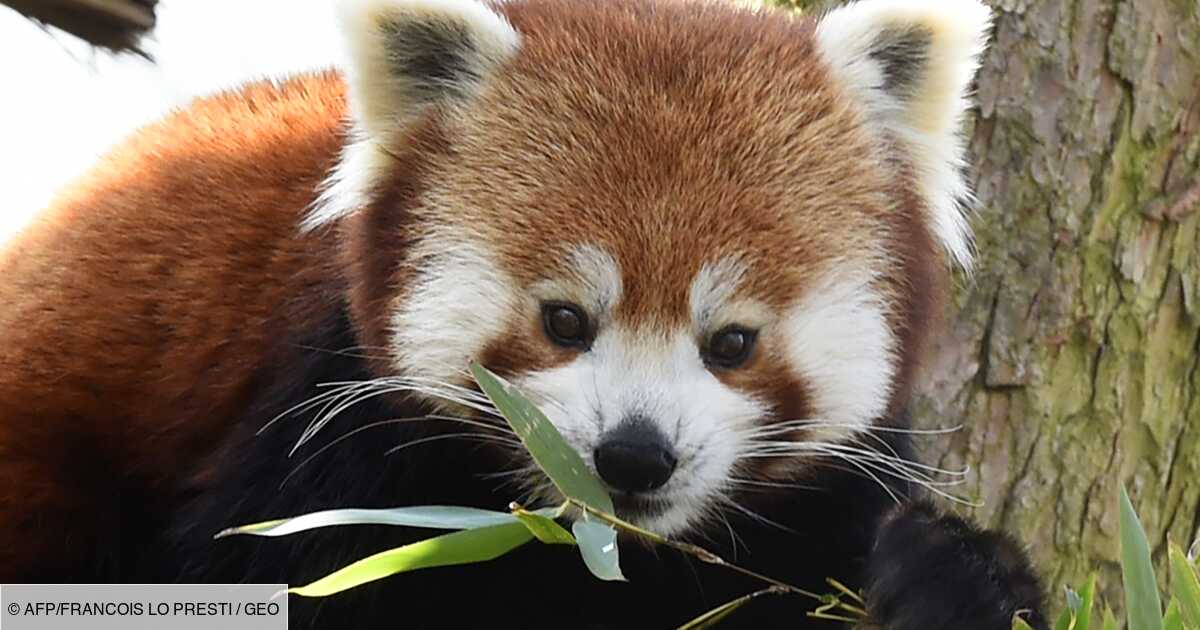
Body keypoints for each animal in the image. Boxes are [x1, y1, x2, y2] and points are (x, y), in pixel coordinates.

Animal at [0, 0, 1046, 624]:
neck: (607, 551)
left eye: (733, 342)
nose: (634, 457)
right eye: (565, 322)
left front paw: (954, 577)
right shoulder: (323, 448)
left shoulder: (820, 504)